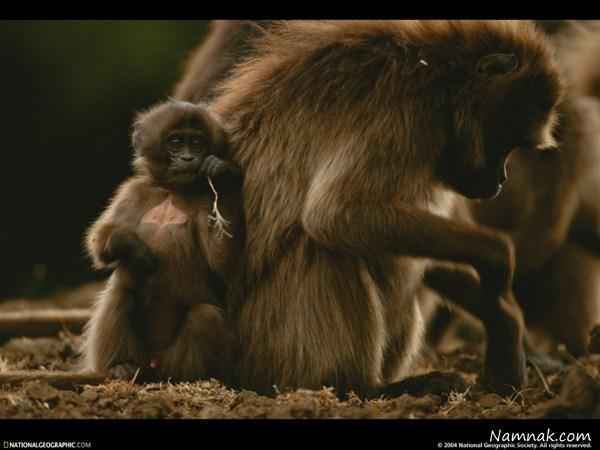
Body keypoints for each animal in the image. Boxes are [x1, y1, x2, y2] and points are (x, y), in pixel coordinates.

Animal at [80, 100, 244, 382]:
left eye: (197, 143)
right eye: (176, 142)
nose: (188, 158)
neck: (173, 190)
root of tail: (152, 363)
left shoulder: (203, 198)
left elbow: (223, 265)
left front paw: (222, 178)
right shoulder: (134, 191)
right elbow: (99, 244)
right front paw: (130, 245)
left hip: (170, 358)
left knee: (205, 315)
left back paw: (180, 377)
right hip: (140, 352)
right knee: (121, 291)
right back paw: (121, 366)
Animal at [178, 20, 564, 398]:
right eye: (504, 142)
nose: (500, 180)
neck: (439, 77)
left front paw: (502, 318)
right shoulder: (404, 115)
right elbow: (335, 216)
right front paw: (497, 268)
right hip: (263, 347)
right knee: (326, 245)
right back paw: (365, 388)